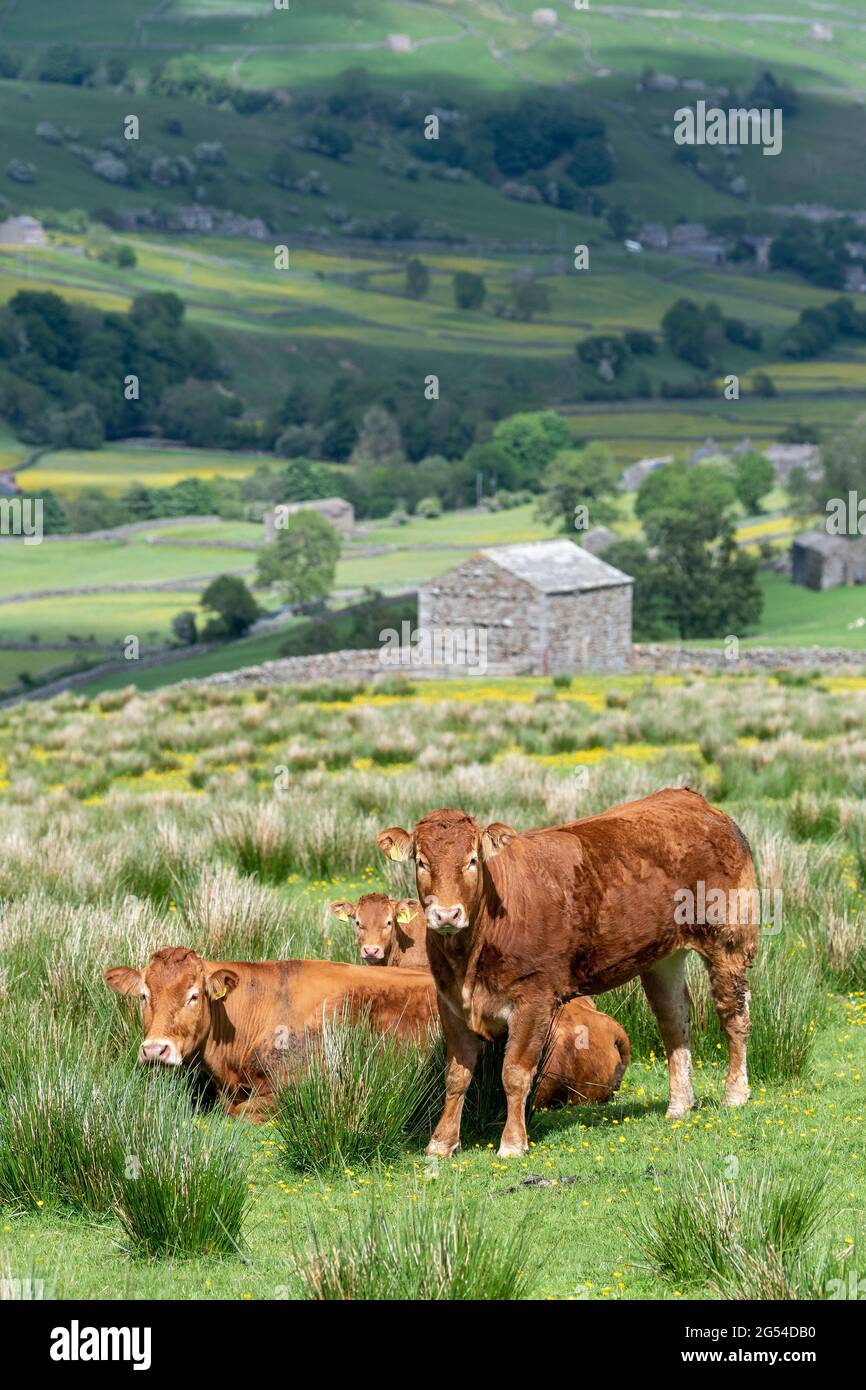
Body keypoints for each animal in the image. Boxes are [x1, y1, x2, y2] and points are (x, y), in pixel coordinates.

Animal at [378, 789, 756, 1156]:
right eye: (422, 862)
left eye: (472, 860)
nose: (446, 914)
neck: (469, 957)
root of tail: (696, 803)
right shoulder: (451, 1002)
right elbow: (456, 1076)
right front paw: (441, 1143)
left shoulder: (534, 1000)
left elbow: (514, 1073)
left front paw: (512, 1143)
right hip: (662, 958)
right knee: (674, 1020)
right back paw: (679, 1104)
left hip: (728, 939)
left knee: (733, 1013)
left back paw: (735, 1094)